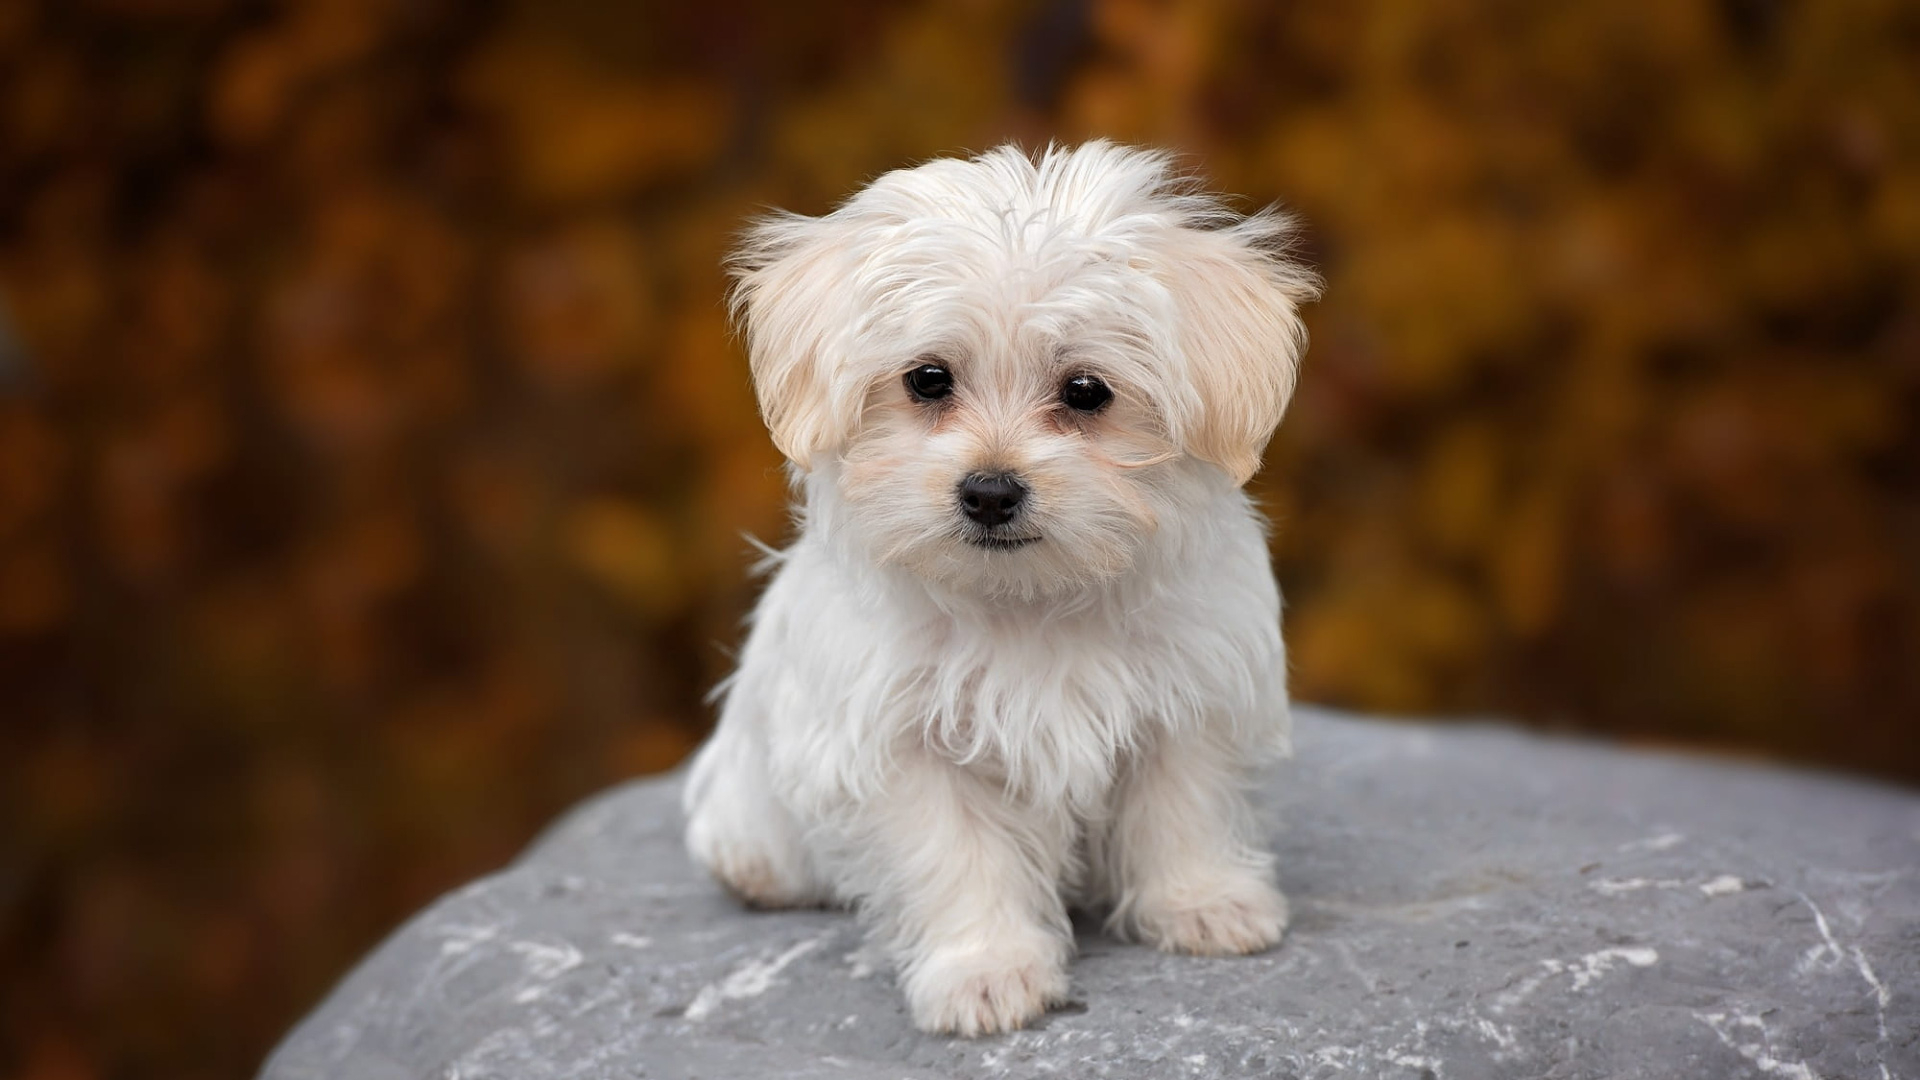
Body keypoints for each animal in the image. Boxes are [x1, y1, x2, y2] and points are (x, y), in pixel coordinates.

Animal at [687, 138, 1320, 1030]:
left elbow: (1182, 806)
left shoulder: (1188, 691)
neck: (1028, 600)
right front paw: (984, 969)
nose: (989, 492)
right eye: (927, 379)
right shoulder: (900, 741)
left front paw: (1202, 902)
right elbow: (958, 855)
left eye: (1086, 391)